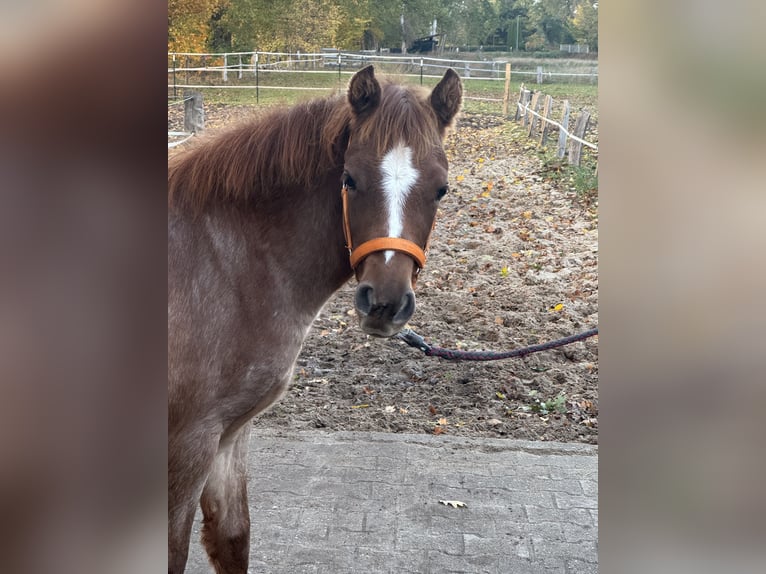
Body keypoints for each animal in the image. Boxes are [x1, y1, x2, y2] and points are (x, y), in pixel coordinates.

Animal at [168, 65, 462, 573]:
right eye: (349, 179)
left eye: (440, 189)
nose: (384, 303)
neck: (219, 261)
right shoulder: (187, 444)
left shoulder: (228, 435)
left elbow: (233, 537)